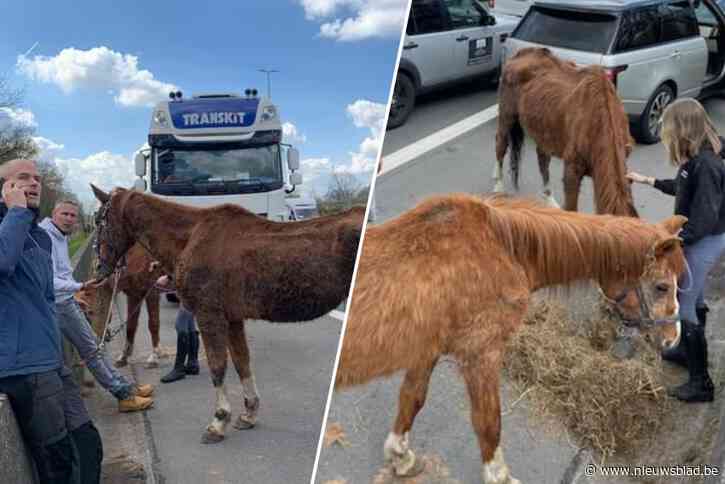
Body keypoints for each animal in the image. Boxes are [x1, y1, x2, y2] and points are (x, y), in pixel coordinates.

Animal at [90, 185, 364, 444]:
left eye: (99, 222)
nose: (100, 268)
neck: (191, 237)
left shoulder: (209, 316)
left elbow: (217, 366)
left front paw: (218, 421)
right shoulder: (232, 319)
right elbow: (242, 362)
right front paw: (249, 413)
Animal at [333, 193, 685, 484]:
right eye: (662, 287)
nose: (673, 339)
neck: (502, 247)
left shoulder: (426, 350)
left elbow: (412, 399)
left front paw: (401, 457)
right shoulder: (481, 354)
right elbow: (489, 423)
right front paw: (499, 476)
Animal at [494, 47, 638, 217]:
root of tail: (521, 53)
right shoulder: (572, 169)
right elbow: (571, 207)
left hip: (543, 129)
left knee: (542, 160)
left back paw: (549, 200)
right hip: (507, 115)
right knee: (501, 144)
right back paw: (498, 186)